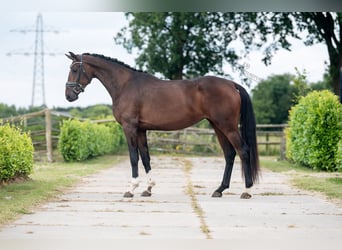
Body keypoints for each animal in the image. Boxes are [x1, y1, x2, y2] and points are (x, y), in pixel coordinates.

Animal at [65, 52, 260, 199]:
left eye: (74, 69)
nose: (69, 95)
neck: (126, 85)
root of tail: (232, 85)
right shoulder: (141, 130)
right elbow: (145, 158)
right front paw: (148, 188)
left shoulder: (129, 128)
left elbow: (133, 158)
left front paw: (131, 189)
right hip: (218, 126)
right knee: (230, 154)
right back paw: (219, 190)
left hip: (228, 126)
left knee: (243, 151)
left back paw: (247, 190)